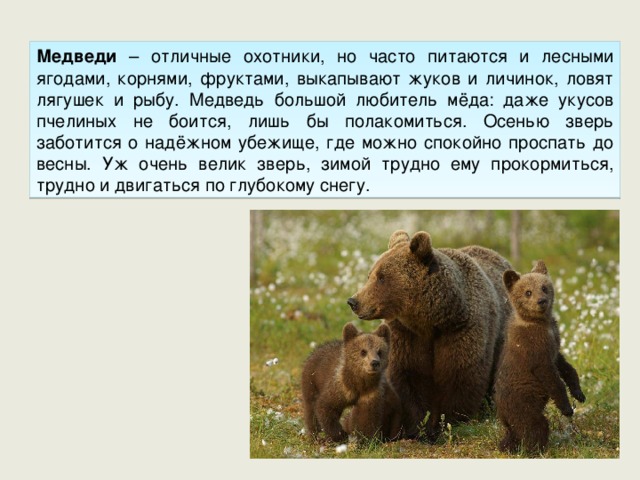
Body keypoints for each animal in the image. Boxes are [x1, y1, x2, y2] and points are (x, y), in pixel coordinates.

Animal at [347, 230, 513, 442]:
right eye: (370, 274)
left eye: (381, 277)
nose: (354, 301)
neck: (431, 320)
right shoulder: (407, 335)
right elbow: (409, 377)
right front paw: (416, 428)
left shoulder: (460, 330)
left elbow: (459, 375)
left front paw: (443, 424)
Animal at [494, 260, 586, 453]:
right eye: (528, 292)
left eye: (544, 287)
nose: (541, 301)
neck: (540, 323)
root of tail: (502, 414)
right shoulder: (534, 349)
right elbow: (551, 377)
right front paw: (567, 408)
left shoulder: (554, 341)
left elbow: (564, 365)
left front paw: (578, 392)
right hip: (523, 402)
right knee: (534, 425)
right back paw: (537, 450)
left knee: (515, 433)